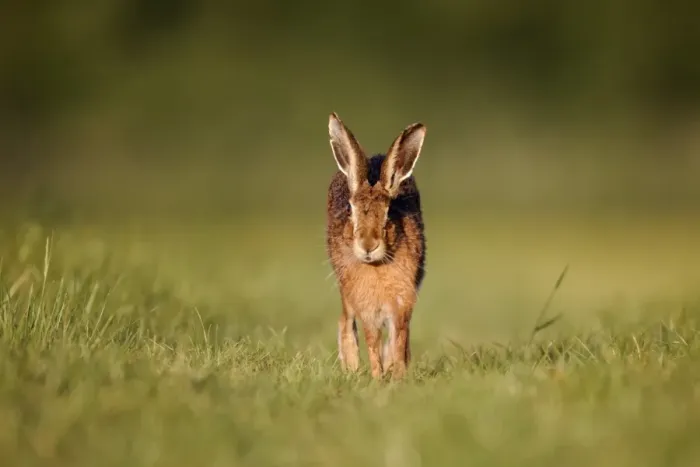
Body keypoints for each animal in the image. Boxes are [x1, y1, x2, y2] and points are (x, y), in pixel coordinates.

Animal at [325, 112, 427, 379]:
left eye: (389, 212)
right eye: (350, 210)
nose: (368, 245)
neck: (377, 267)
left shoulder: (401, 304)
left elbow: (398, 339)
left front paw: (398, 376)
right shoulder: (366, 308)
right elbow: (372, 341)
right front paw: (377, 378)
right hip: (346, 294)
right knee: (345, 322)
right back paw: (351, 368)